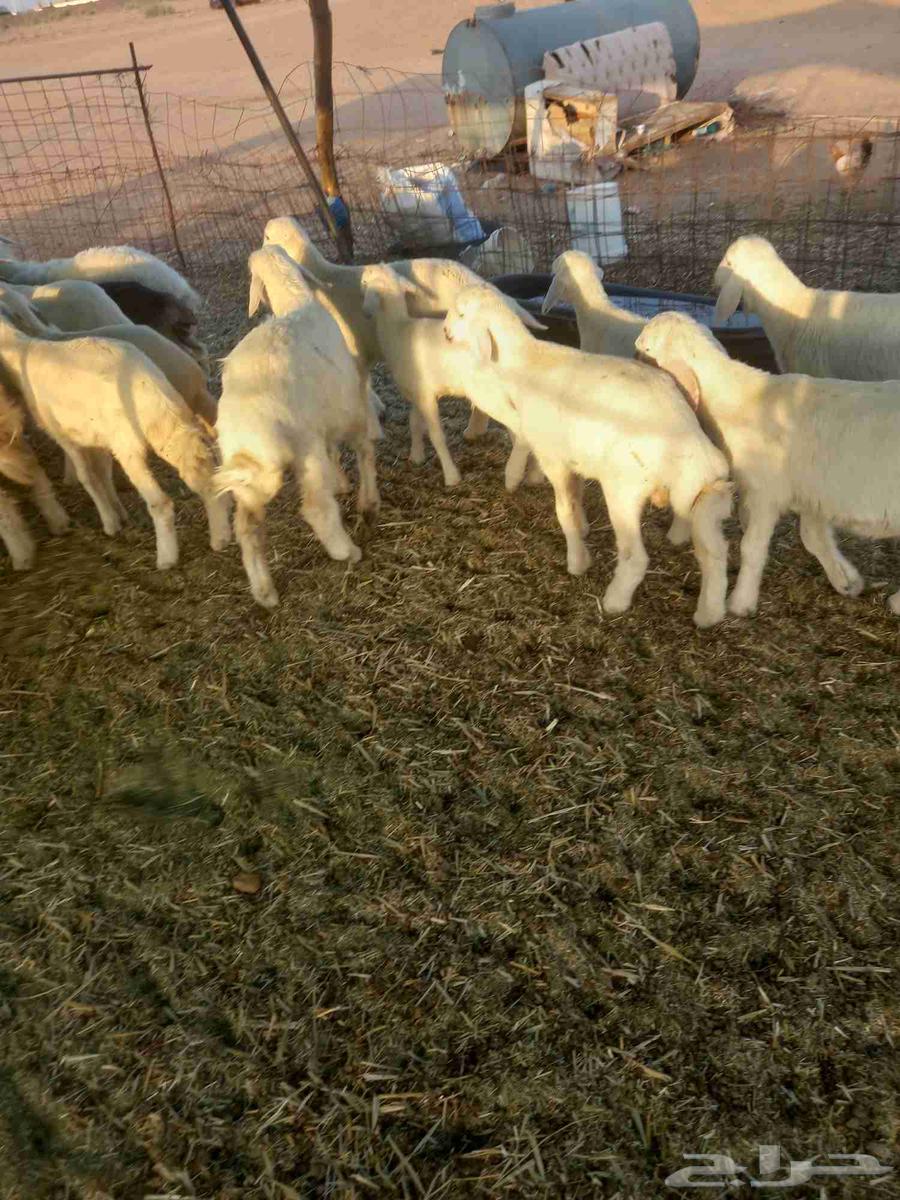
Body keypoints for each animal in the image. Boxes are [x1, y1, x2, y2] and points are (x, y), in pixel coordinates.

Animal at [214, 258, 380, 609]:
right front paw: (368, 502)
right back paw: (347, 551)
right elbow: (364, 451)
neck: (295, 302)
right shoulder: (350, 407)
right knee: (317, 507)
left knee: (247, 528)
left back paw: (264, 592)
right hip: (306, 448)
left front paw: (342, 483)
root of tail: (251, 427)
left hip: (249, 479)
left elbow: (337, 452)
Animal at [444, 286, 733, 627]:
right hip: (702, 499)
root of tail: (690, 442)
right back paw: (709, 613)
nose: (445, 332)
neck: (526, 363)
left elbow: (564, 510)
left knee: (636, 556)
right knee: (715, 554)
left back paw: (615, 600)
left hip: (624, 490)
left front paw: (577, 561)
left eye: (461, 313)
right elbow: (577, 497)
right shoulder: (575, 456)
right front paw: (583, 530)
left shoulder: (554, 458)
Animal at [634, 310, 900, 616]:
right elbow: (814, 537)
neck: (737, 401)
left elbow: (751, 546)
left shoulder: (765, 493)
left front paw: (741, 602)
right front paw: (846, 580)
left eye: (645, 348)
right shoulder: (809, 493)